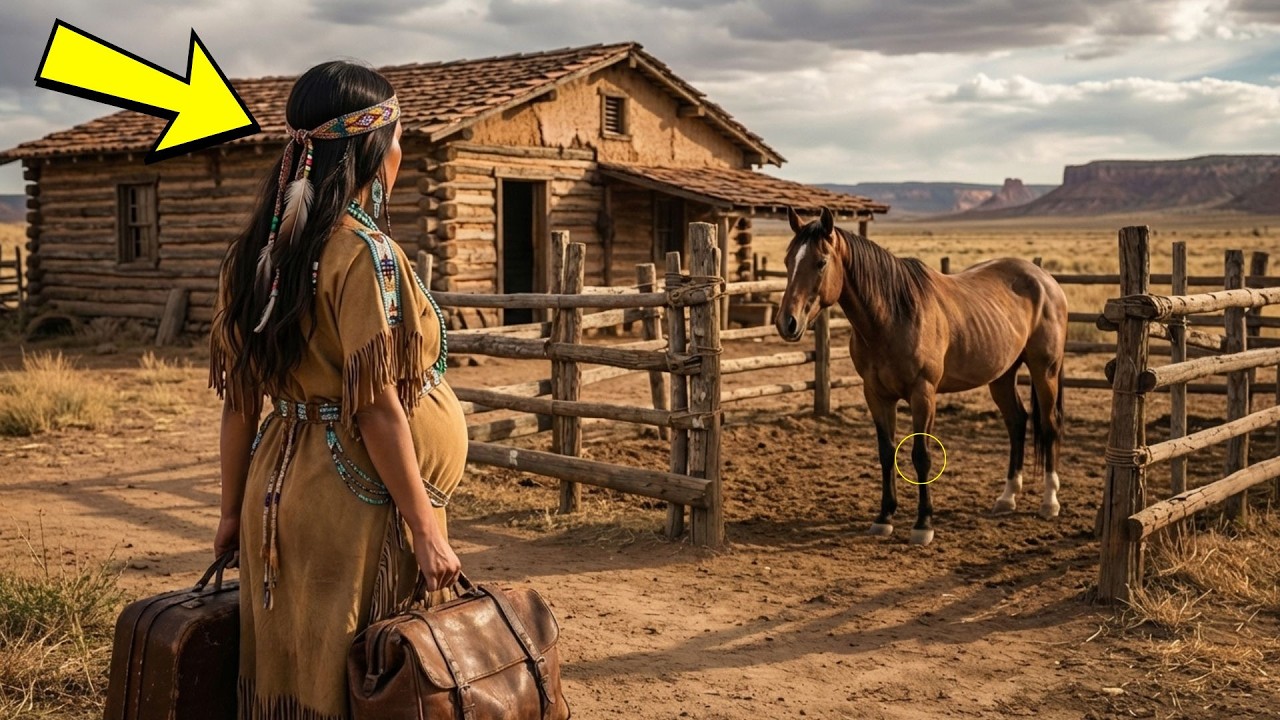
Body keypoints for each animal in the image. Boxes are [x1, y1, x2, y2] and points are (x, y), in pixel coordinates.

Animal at [775, 207, 1068, 545]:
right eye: (788, 260)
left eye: (821, 262)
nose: (787, 322)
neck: (892, 317)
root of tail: (1045, 280)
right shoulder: (876, 395)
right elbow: (886, 452)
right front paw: (884, 517)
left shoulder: (923, 394)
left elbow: (921, 455)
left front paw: (923, 524)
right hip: (1002, 375)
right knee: (1017, 422)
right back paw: (1007, 498)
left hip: (1045, 370)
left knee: (1049, 425)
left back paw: (1050, 502)